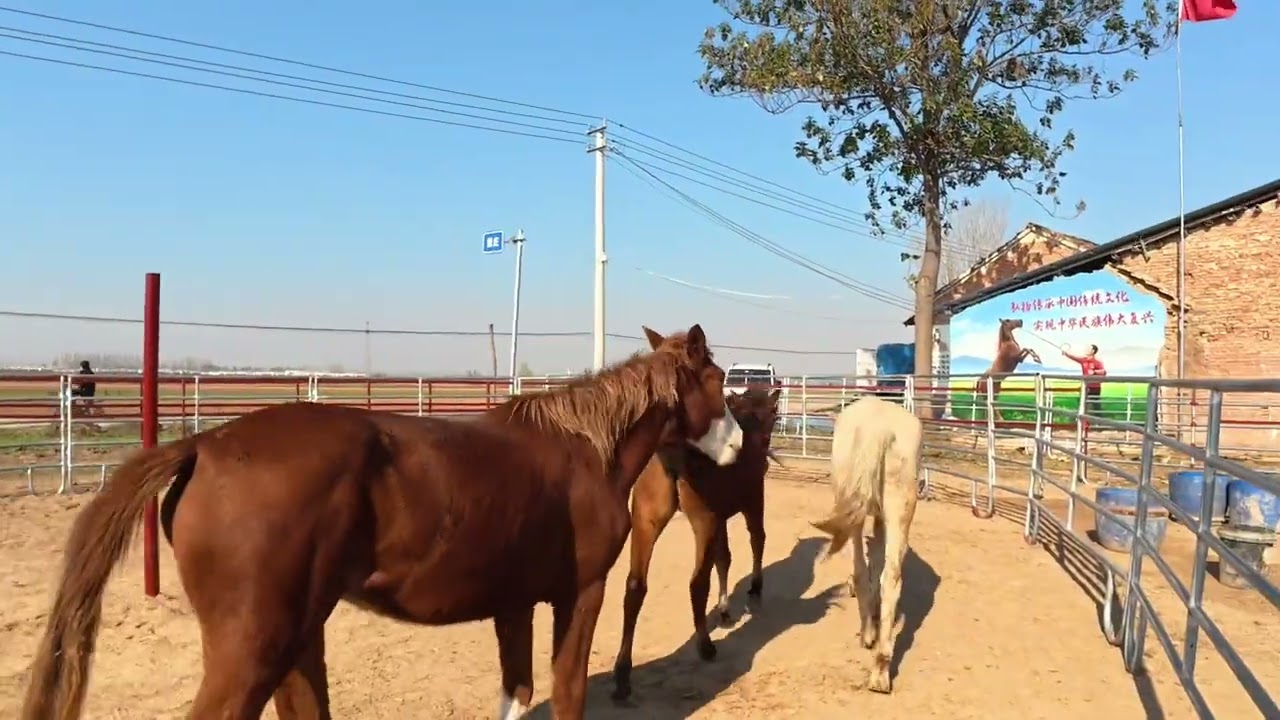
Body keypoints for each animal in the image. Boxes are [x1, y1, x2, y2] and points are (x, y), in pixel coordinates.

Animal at [20, 323, 743, 720]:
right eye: (718, 379)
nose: (738, 444)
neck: (583, 448)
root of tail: (206, 444)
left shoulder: (513, 605)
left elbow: (518, 691)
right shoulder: (580, 593)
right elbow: (565, 695)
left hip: (296, 638)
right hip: (253, 649)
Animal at [611, 386, 782, 702]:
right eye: (774, 413)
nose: (766, 451)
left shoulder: (719, 517)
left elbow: (724, 557)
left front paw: (724, 610)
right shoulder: (750, 500)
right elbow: (756, 539)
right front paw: (753, 590)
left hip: (645, 521)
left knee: (635, 586)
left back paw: (622, 676)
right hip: (701, 520)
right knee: (697, 581)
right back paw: (705, 646)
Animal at [809, 395, 922, 694]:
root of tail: (880, 429)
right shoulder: (882, 517)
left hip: (855, 515)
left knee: (860, 570)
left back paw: (867, 636)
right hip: (900, 511)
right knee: (891, 579)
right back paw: (880, 671)